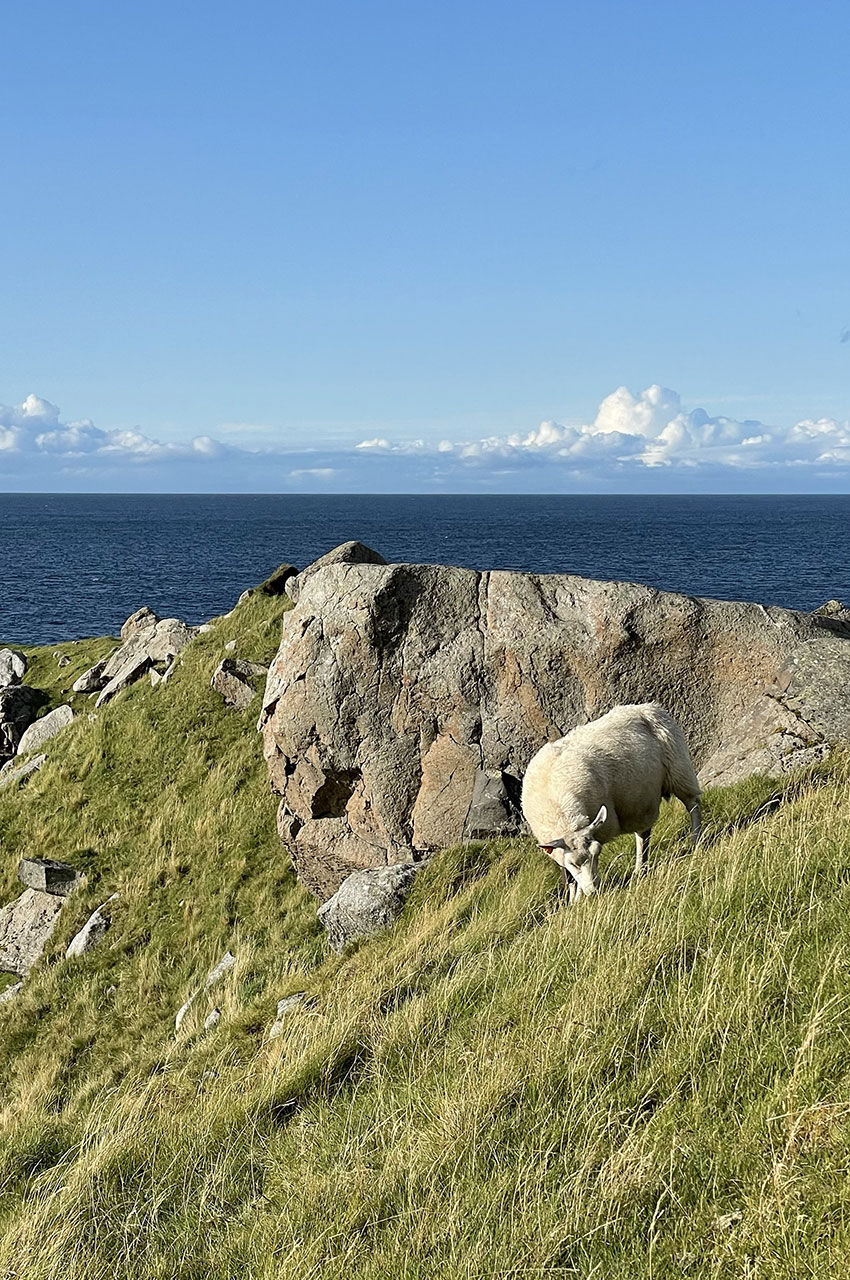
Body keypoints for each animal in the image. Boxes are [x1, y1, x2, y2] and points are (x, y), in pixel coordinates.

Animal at [522, 706, 701, 906]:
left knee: (692, 804)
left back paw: (695, 841)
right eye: (573, 863)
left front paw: (579, 898)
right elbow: (568, 877)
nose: (594, 891)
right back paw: (640, 868)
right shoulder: (559, 849)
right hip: (640, 799)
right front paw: (573, 900)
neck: (562, 815)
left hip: (678, 769)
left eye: (598, 853)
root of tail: (648, 706)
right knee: (643, 833)